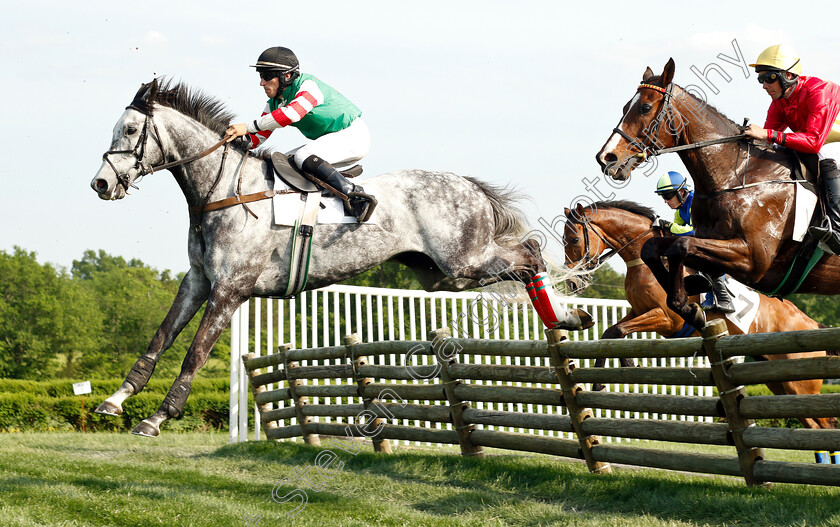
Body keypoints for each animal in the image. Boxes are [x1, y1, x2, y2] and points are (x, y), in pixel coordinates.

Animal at [90, 78, 592, 440]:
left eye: (130, 131)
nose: (100, 184)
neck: (222, 190)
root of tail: (467, 184)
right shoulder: (198, 281)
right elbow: (160, 339)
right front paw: (115, 400)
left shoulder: (231, 289)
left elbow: (194, 353)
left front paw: (157, 418)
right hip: (443, 275)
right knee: (522, 258)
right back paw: (567, 316)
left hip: (462, 261)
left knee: (529, 252)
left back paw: (567, 316)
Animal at [560, 202, 836, 450]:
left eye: (573, 240)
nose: (573, 283)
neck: (641, 260)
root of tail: (812, 323)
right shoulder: (638, 310)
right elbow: (611, 331)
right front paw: (619, 369)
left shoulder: (667, 319)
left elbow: (618, 330)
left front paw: (605, 379)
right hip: (779, 380)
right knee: (813, 424)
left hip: (800, 384)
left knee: (826, 423)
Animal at [592, 56, 840, 330]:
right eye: (626, 106)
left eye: (645, 107)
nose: (606, 158)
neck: (735, 176)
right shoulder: (712, 242)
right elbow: (653, 247)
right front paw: (689, 297)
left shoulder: (753, 260)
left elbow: (680, 245)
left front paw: (687, 304)